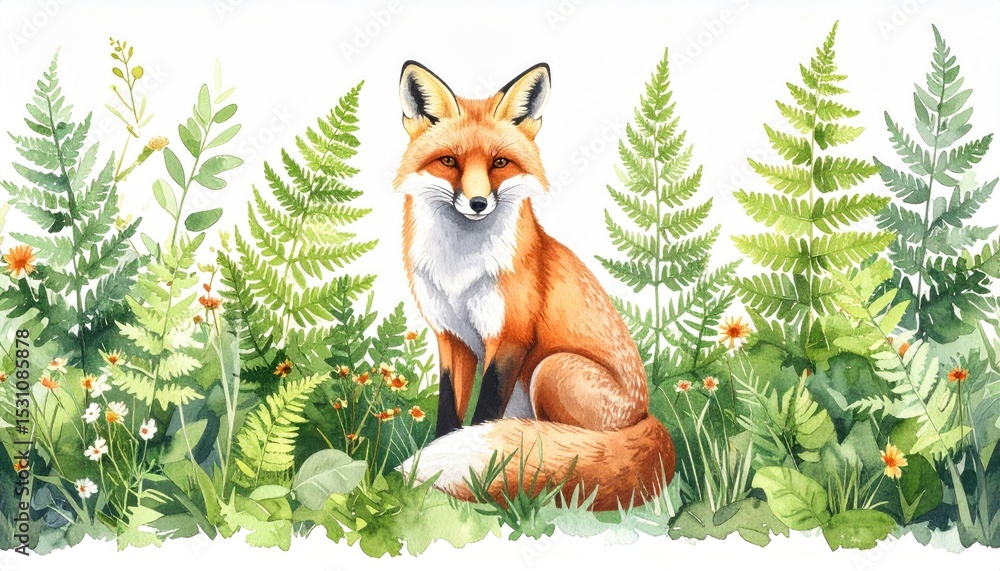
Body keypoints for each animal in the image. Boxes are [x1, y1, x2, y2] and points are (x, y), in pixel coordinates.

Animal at [394, 61, 675, 511]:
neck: (459, 273)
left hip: (550, 369)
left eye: (500, 162)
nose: (478, 203)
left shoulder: (510, 336)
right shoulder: (451, 337)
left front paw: (475, 471)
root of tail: (646, 417)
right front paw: (431, 472)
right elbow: (449, 416)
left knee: (573, 445)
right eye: (449, 161)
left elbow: (483, 415)